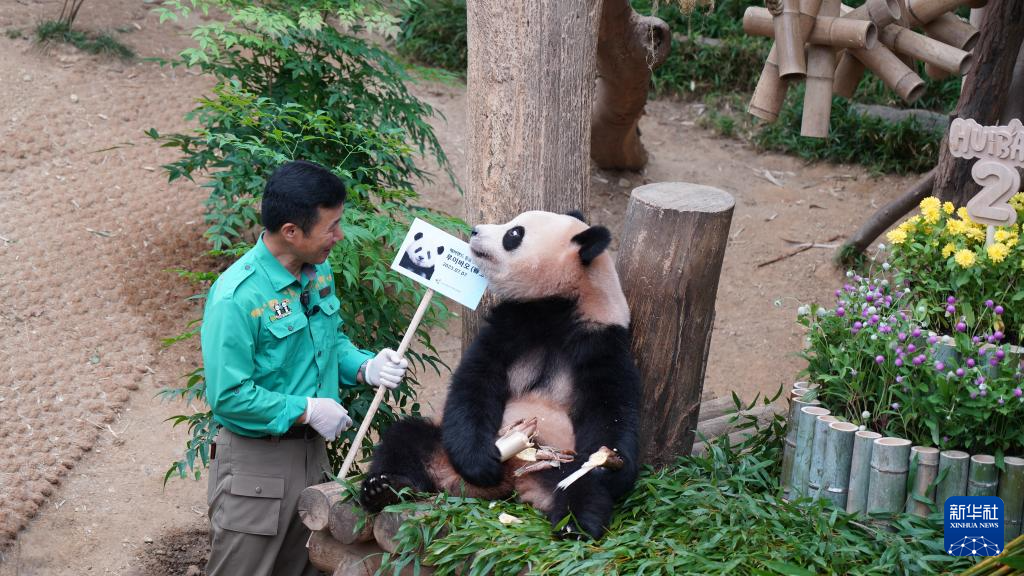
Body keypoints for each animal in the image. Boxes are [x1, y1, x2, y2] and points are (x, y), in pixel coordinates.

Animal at [361, 210, 640, 539]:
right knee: (406, 437)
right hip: (443, 444)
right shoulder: (511, 324)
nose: (474, 231)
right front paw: (481, 463)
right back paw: (383, 488)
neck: (558, 305)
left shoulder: (601, 341)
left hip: (555, 457)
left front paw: (609, 466)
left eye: (514, 234)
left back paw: (574, 524)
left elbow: (610, 407)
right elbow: (476, 380)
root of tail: (512, 479)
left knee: (580, 484)